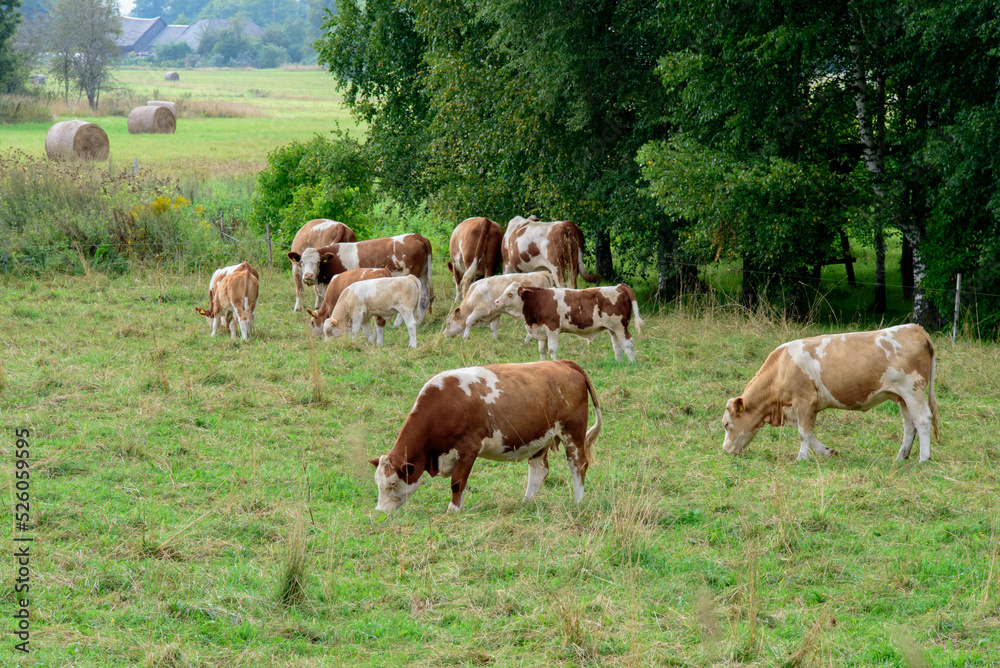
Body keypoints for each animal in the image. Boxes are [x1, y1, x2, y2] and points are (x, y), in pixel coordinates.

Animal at [370, 360, 596, 512]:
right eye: (377, 481)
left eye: (392, 483)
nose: (380, 512)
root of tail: (561, 363)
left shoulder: (468, 449)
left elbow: (457, 482)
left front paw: (453, 510)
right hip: (538, 440)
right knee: (538, 472)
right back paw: (526, 502)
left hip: (573, 432)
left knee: (577, 465)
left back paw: (578, 502)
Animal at [496, 284, 644, 362]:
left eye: (510, 294)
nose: (496, 301)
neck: (539, 301)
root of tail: (619, 286)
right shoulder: (542, 331)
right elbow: (542, 350)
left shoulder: (552, 328)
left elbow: (552, 349)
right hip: (612, 328)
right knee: (618, 346)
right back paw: (619, 363)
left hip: (620, 326)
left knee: (628, 343)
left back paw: (632, 363)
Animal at [724, 324, 940, 462]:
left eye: (726, 424)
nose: (725, 449)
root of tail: (914, 327)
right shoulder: (805, 408)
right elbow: (808, 433)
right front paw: (828, 452)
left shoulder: (803, 401)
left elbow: (803, 433)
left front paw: (801, 458)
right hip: (903, 397)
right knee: (909, 425)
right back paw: (901, 457)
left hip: (913, 390)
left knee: (922, 420)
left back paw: (924, 458)